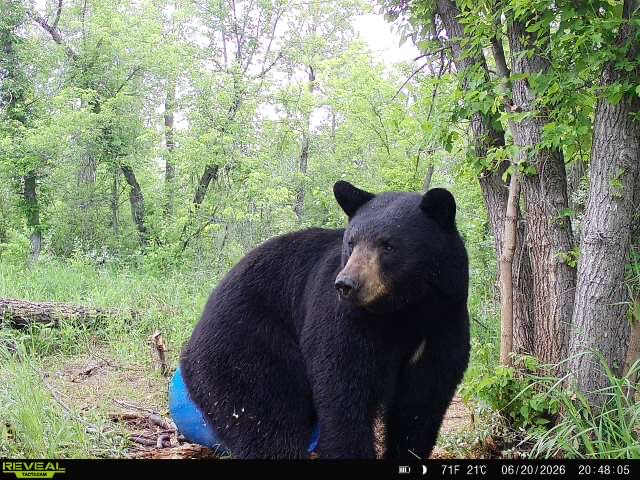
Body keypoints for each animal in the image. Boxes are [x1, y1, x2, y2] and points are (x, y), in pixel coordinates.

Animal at [177, 181, 470, 459]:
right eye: (351, 242)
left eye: (388, 245)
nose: (346, 284)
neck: (405, 311)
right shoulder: (345, 322)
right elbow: (342, 393)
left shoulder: (443, 325)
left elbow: (419, 408)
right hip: (246, 345)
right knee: (266, 417)